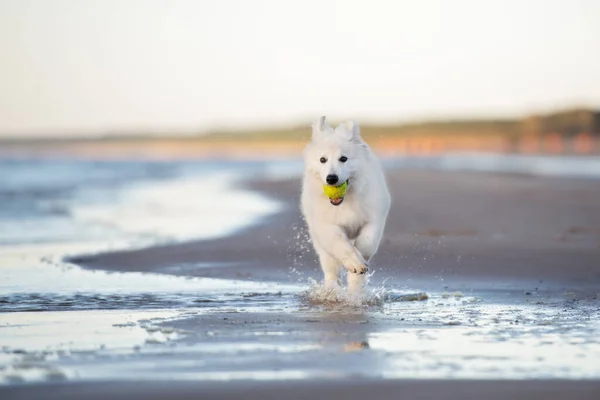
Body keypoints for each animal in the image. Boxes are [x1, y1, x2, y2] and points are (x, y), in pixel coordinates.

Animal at [300, 117, 394, 292]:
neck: (345, 200)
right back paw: (332, 289)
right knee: (331, 270)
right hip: (320, 244)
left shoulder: (373, 219)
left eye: (343, 159)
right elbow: (340, 244)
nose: (331, 178)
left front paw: (360, 265)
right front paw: (355, 263)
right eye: (322, 160)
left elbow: (367, 242)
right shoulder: (327, 226)